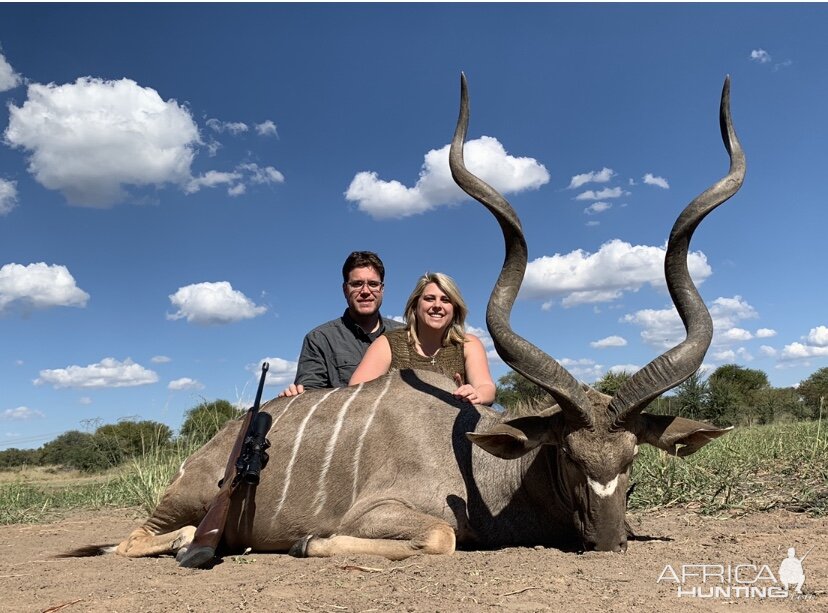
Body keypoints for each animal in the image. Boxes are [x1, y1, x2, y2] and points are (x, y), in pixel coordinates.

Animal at [68, 74, 748, 560]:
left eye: (631, 461)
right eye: (569, 456)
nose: (609, 540)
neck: (479, 470)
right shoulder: (388, 514)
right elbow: (438, 537)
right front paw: (306, 540)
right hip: (178, 504)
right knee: (131, 541)